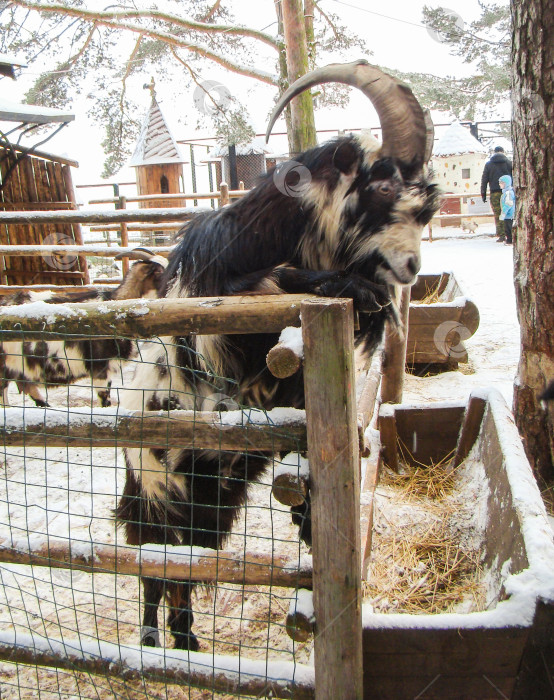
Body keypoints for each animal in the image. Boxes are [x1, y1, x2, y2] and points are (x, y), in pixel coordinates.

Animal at [116, 60, 440, 652]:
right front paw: (359, 289)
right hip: (159, 484)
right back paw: (152, 640)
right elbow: (281, 278)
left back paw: (185, 638)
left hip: (215, 492)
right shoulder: (219, 313)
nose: (409, 268)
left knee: (188, 559)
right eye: (382, 184)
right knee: (153, 556)